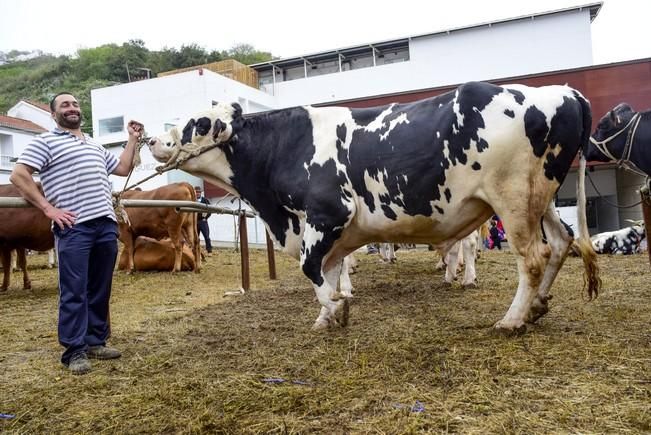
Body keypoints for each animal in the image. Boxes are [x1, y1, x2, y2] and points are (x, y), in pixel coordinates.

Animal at [148, 81, 600, 334]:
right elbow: (328, 271)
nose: (154, 139)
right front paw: (326, 316)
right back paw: (537, 306)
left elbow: (312, 270)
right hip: (540, 197)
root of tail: (563, 92)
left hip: (514, 198)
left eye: (198, 124)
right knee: (561, 242)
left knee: (534, 257)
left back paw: (513, 319)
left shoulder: (328, 213)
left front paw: (337, 308)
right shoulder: (323, 230)